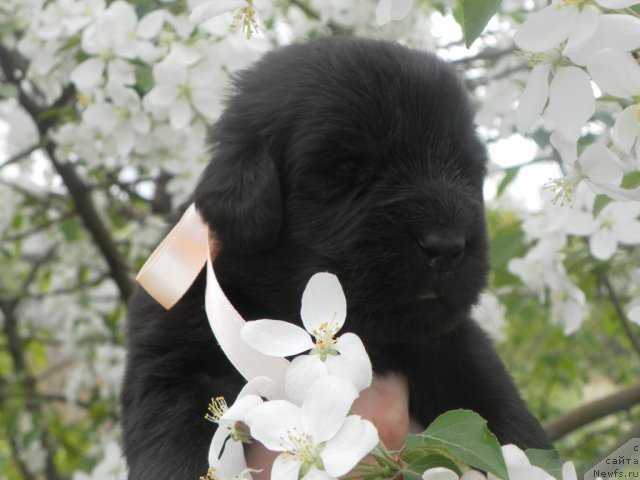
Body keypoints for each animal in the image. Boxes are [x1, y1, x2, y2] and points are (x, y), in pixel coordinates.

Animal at [122, 35, 552, 478]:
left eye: (464, 170)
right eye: (349, 166)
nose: (446, 247)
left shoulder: (454, 346)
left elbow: (502, 406)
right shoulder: (172, 363)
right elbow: (172, 443)